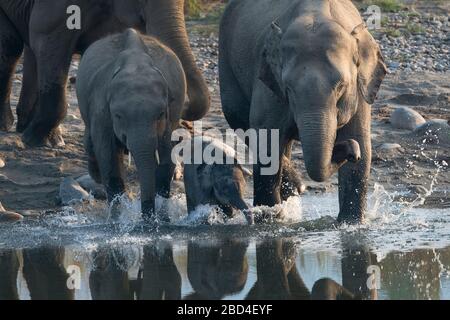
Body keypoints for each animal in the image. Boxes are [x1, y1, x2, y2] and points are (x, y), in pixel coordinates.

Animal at [0, 0, 211, 146]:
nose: (182, 109)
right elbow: (46, 38)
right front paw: (34, 140)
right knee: (11, 46)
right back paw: (10, 127)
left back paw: (28, 127)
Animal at [76, 28, 185, 222]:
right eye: (118, 116)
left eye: (160, 114)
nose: (146, 220)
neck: (135, 62)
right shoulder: (101, 109)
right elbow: (108, 155)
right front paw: (116, 221)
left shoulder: (172, 111)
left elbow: (166, 153)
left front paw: (162, 219)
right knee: (90, 144)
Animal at [219, 0, 386, 222]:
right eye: (288, 88)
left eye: (341, 86)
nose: (349, 151)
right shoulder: (270, 88)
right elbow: (267, 143)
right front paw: (270, 219)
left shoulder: (359, 95)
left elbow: (361, 146)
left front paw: (351, 223)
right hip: (226, 66)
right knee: (240, 122)